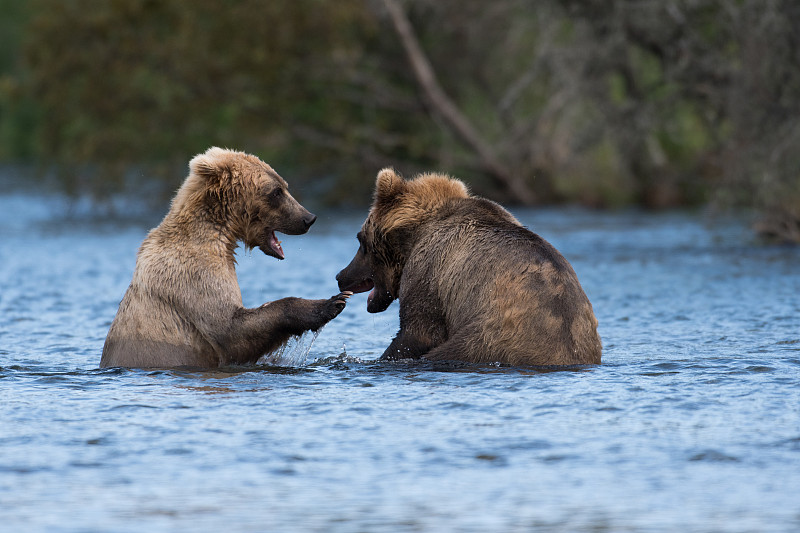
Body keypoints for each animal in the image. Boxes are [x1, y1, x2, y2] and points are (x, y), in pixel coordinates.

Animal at [100, 148, 350, 368]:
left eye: (284, 186)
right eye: (276, 192)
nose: (308, 218)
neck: (218, 232)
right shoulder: (192, 275)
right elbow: (230, 329)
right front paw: (332, 302)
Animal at [334, 170, 604, 366]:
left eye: (360, 240)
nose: (340, 275)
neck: (414, 236)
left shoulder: (429, 270)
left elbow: (418, 331)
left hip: (492, 337)